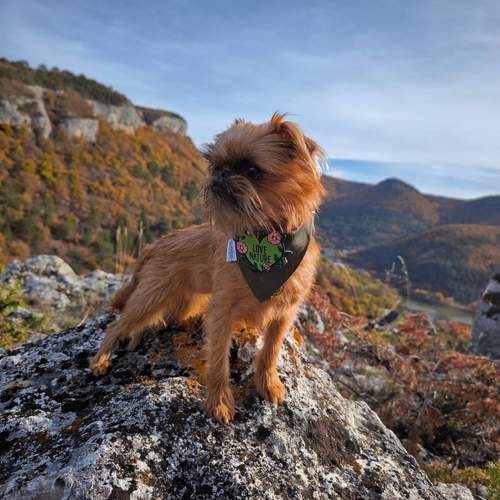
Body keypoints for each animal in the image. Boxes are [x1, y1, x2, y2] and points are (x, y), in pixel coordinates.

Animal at [90, 113, 325, 423]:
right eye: (216, 165)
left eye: (252, 169)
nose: (221, 175)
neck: (267, 241)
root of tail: (154, 245)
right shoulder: (221, 312)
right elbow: (217, 362)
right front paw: (219, 402)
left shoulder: (284, 314)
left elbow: (270, 352)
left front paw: (268, 385)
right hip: (151, 296)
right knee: (117, 325)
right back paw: (101, 360)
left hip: (184, 303)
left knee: (157, 320)